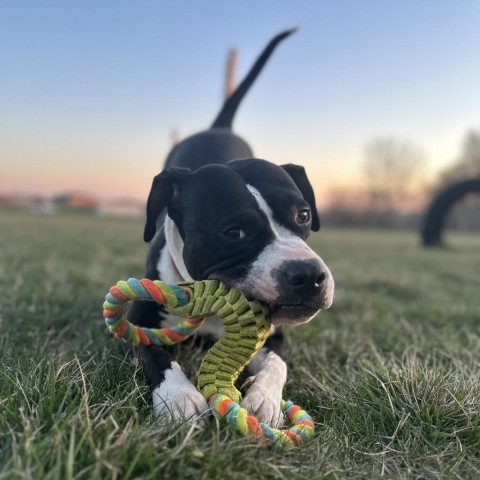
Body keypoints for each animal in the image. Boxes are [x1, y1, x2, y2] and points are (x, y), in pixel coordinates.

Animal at [127, 30, 334, 426]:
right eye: (234, 232)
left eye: (303, 215)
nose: (309, 275)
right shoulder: (140, 318)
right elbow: (156, 354)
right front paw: (179, 396)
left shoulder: (276, 338)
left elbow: (278, 364)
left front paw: (264, 397)